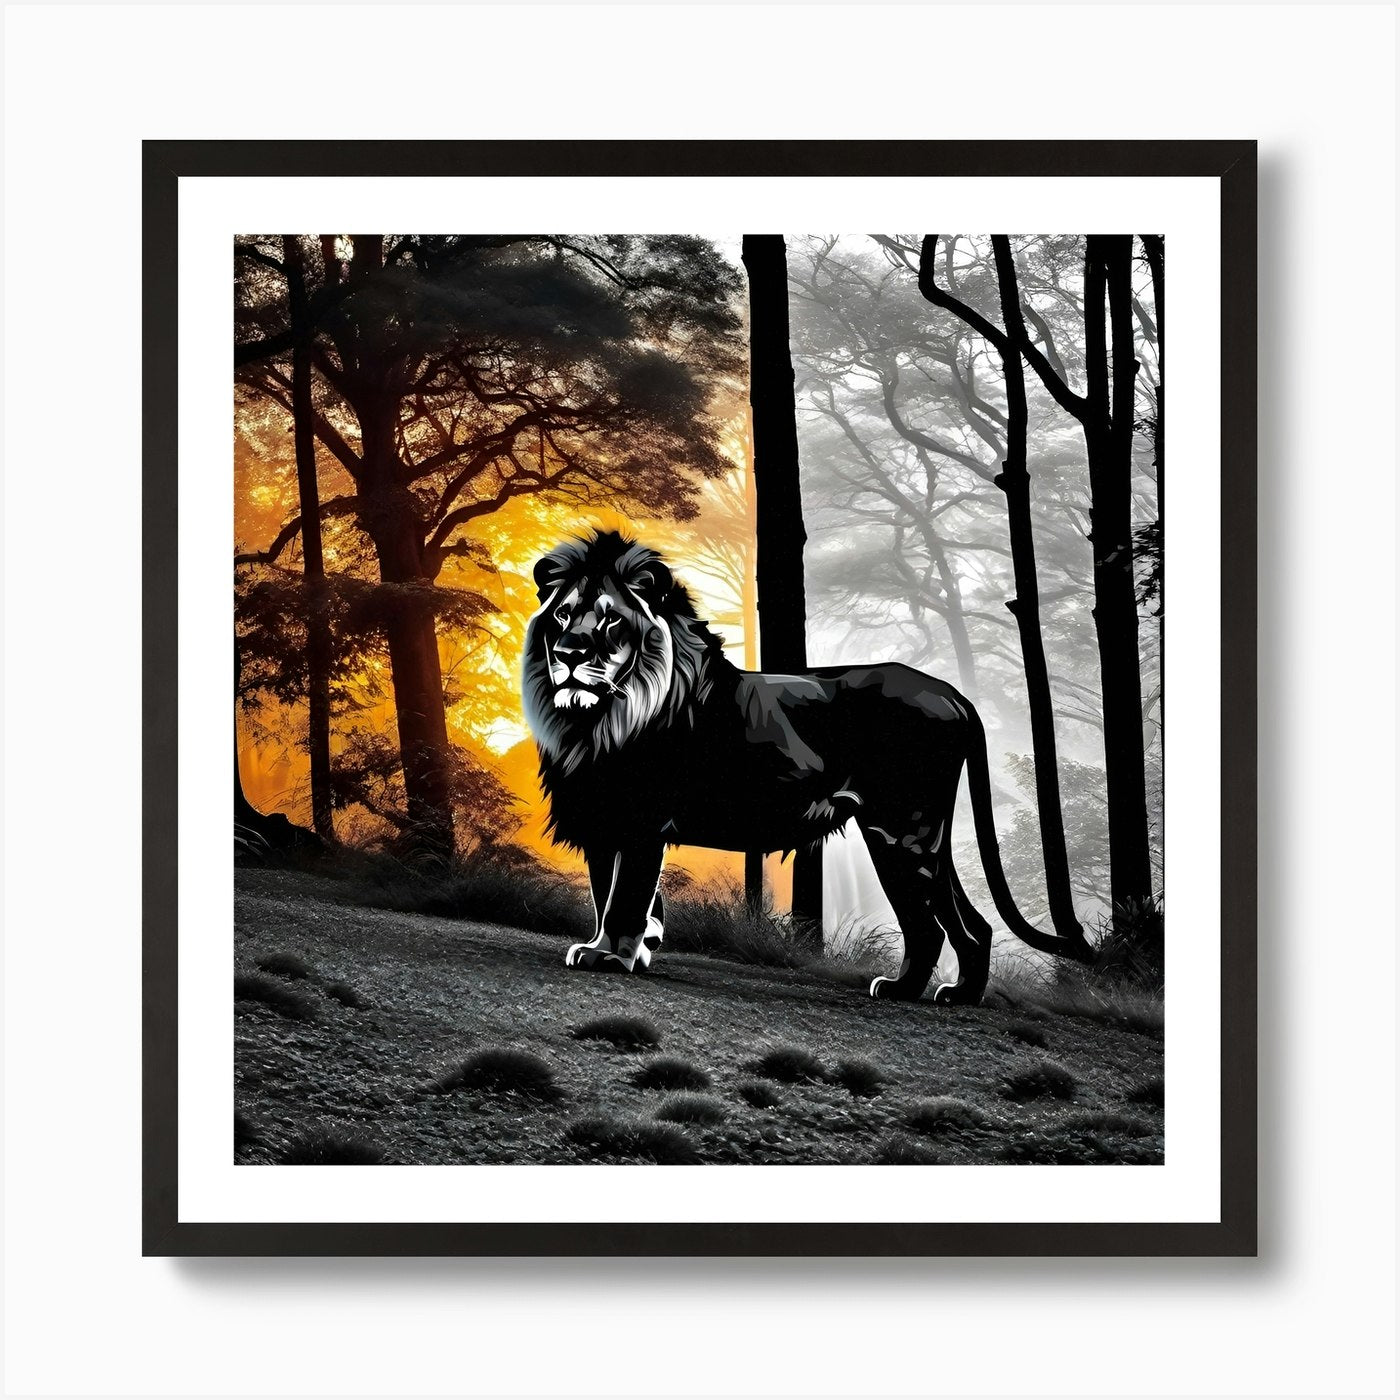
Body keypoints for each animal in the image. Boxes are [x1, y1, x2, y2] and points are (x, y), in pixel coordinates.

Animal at [522, 530, 1086, 1004]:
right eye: (563, 615)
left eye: (611, 618)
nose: (569, 654)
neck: (595, 718)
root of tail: (955, 694)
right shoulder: (602, 819)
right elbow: (608, 894)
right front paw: (627, 949)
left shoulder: (640, 821)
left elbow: (624, 899)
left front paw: (611, 958)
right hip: (915, 836)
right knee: (960, 924)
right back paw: (944, 993)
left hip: (903, 832)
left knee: (936, 924)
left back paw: (919, 993)